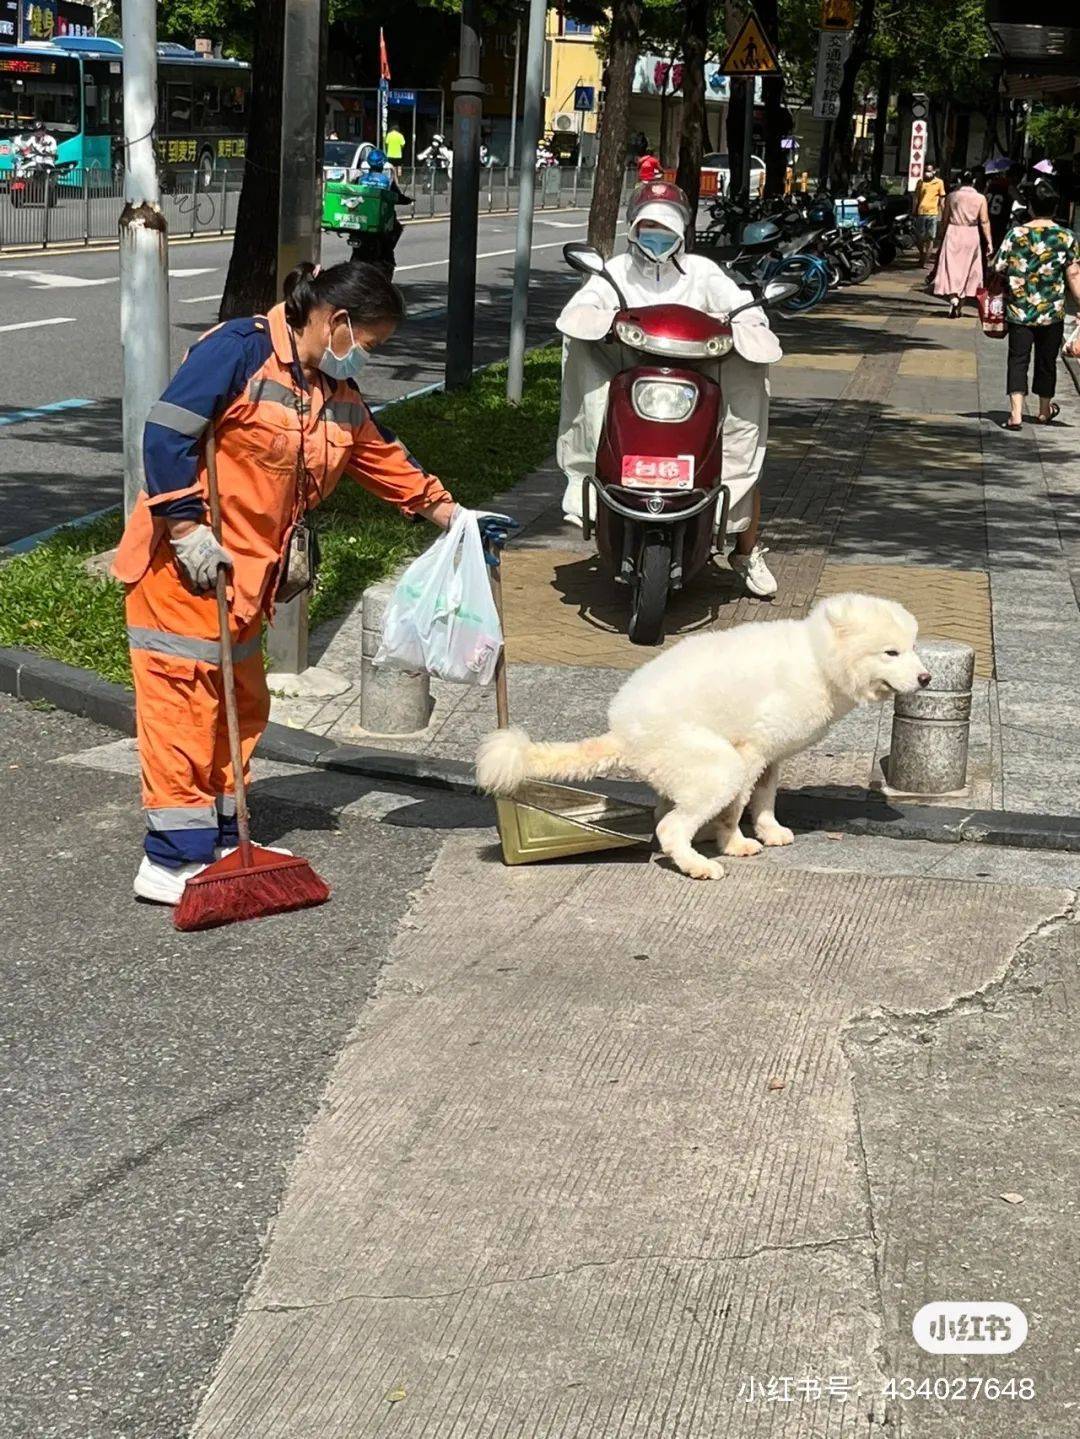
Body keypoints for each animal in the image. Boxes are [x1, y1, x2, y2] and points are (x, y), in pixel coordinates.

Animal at [477, 592, 931, 880]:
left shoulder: (772, 754)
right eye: (891, 652)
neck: (818, 662)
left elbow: (765, 798)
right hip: (714, 764)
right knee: (670, 826)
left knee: (664, 812)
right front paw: (736, 842)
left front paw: (769, 831)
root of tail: (622, 731)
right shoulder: (750, 751)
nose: (927, 678)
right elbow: (738, 806)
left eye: (913, 647)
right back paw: (699, 864)